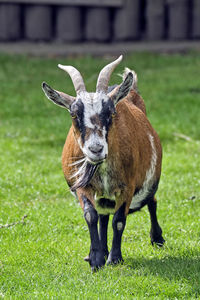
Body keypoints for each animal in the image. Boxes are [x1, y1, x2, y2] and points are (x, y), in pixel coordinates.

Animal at [41, 55, 164, 270]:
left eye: (111, 112)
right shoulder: (83, 186)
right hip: (104, 195)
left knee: (151, 200)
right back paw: (101, 251)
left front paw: (115, 258)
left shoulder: (127, 187)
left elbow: (119, 221)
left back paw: (157, 238)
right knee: (103, 216)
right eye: (73, 114)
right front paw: (96, 259)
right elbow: (91, 216)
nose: (96, 149)